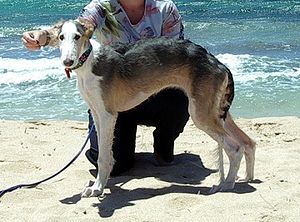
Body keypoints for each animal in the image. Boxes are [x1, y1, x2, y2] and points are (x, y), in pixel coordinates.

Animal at [58, 20, 255, 198]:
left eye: (77, 36)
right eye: (61, 37)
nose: (68, 61)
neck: (90, 62)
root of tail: (218, 63)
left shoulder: (108, 115)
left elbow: (104, 157)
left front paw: (97, 188)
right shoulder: (97, 115)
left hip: (201, 115)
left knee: (235, 148)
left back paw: (228, 184)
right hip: (217, 112)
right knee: (248, 142)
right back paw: (246, 177)